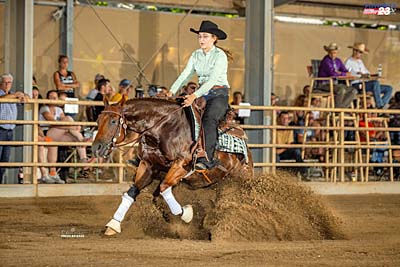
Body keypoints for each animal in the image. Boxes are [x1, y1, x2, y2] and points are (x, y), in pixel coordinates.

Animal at [92, 97, 252, 236]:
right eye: (98, 120)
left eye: (113, 121)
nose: (96, 148)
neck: (165, 128)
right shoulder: (148, 165)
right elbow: (133, 192)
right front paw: (113, 225)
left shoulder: (181, 165)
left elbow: (164, 187)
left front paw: (186, 214)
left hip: (241, 177)